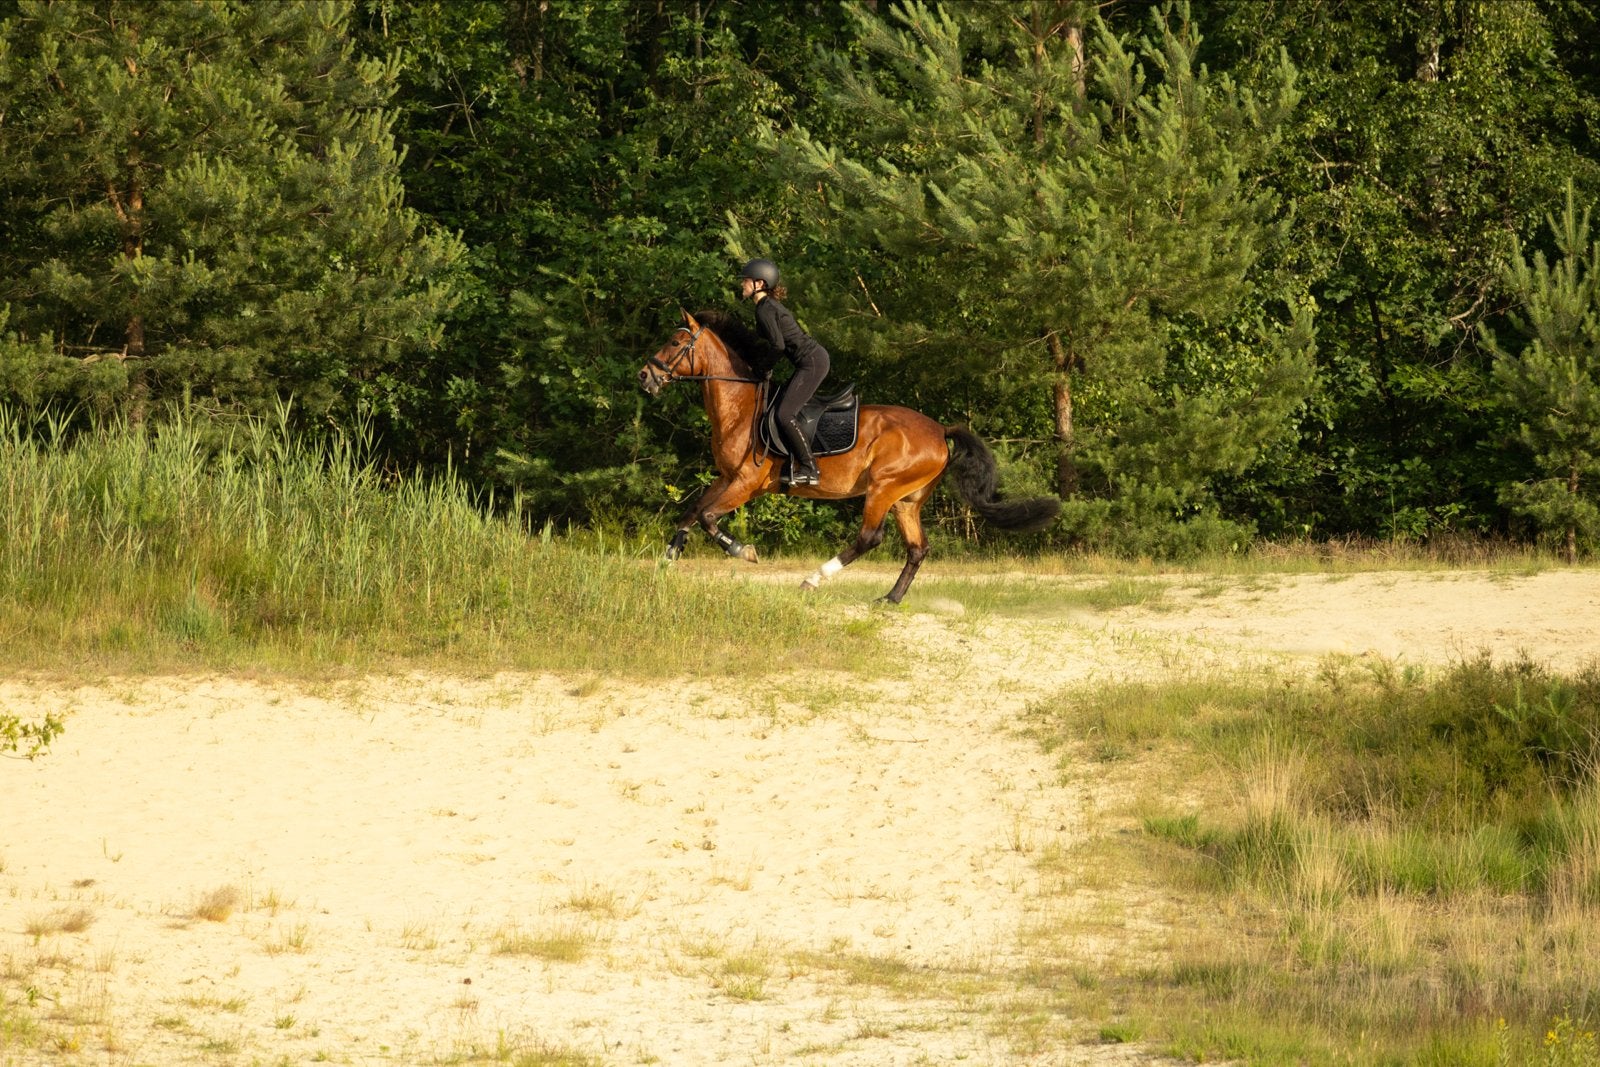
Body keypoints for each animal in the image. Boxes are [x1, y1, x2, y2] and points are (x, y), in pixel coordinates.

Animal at [637, 309, 1060, 603]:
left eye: (674, 342)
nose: (645, 376)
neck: (739, 407)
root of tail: (940, 430)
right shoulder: (726, 478)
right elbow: (690, 513)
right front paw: (664, 564)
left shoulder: (746, 483)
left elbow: (707, 518)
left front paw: (746, 552)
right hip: (906, 499)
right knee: (917, 548)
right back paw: (890, 599)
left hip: (883, 488)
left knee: (870, 538)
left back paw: (813, 579)